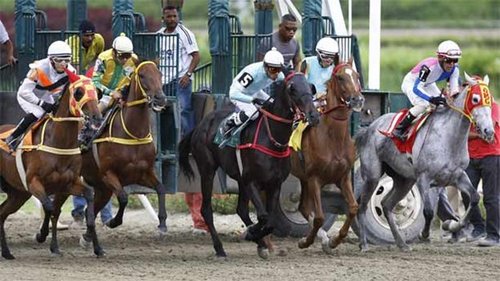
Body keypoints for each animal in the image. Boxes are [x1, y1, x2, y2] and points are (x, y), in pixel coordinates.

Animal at [0, 72, 102, 258]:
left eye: (97, 92)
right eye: (78, 92)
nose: (97, 118)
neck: (59, 142)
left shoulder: (68, 184)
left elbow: (87, 198)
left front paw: (97, 248)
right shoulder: (34, 182)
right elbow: (48, 207)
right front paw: (41, 235)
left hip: (19, 194)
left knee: (1, 214)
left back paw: (6, 252)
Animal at [80, 61, 168, 245]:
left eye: (160, 74)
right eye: (142, 75)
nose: (161, 99)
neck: (133, 134)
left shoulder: (143, 173)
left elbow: (161, 188)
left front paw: (162, 224)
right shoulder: (109, 174)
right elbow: (123, 197)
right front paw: (113, 221)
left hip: (102, 189)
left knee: (90, 211)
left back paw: (87, 237)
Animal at [180, 72, 320, 258]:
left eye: (311, 87)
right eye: (292, 89)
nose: (314, 116)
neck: (272, 139)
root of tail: (200, 125)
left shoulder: (274, 183)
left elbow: (270, 221)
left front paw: (257, 237)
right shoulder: (251, 181)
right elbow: (264, 217)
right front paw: (253, 233)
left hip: (239, 179)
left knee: (241, 209)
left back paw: (259, 242)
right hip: (207, 170)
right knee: (206, 210)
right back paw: (220, 248)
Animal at [290, 60, 364, 253]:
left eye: (356, 76)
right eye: (340, 77)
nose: (358, 99)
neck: (333, 138)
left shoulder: (343, 177)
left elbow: (353, 207)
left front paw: (334, 240)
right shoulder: (315, 178)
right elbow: (320, 217)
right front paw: (306, 241)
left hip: (303, 179)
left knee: (303, 208)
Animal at [356, 71, 492, 249]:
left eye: (490, 99)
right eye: (475, 99)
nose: (488, 130)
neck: (449, 138)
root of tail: (369, 127)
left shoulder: (457, 175)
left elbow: (474, 198)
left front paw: (454, 225)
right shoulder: (423, 177)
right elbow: (428, 211)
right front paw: (425, 234)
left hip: (404, 180)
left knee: (386, 205)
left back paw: (401, 243)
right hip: (373, 176)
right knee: (362, 206)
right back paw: (364, 244)